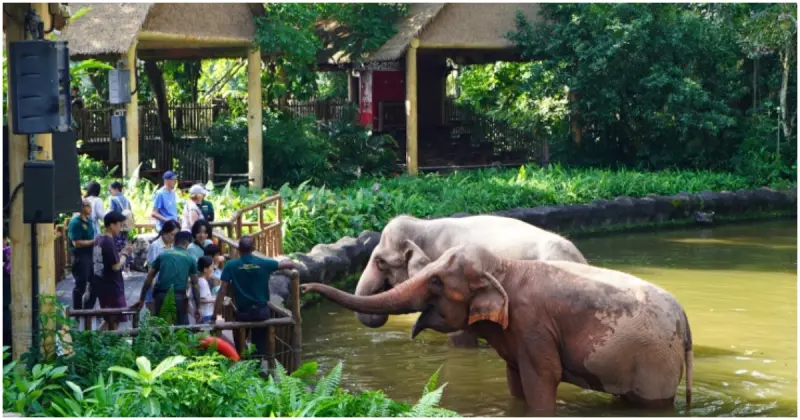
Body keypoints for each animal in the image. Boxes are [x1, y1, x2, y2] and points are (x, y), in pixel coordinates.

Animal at [302, 244, 694, 416]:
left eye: (436, 281)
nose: (303, 286)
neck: (504, 266)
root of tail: (687, 324)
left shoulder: (534, 325)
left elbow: (543, 380)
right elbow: (515, 379)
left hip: (655, 363)